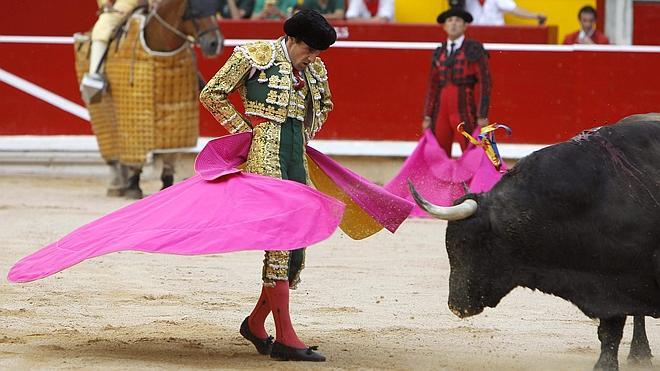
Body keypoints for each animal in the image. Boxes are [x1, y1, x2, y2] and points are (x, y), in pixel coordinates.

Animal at [75, 0, 224, 201]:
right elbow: (135, 154)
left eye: (215, 7)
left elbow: (170, 156)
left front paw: (167, 185)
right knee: (111, 150)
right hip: (99, 110)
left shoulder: (177, 121)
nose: (215, 43)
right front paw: (133, 186)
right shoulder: (133, 119)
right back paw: (117, 184)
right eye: (194, 9)